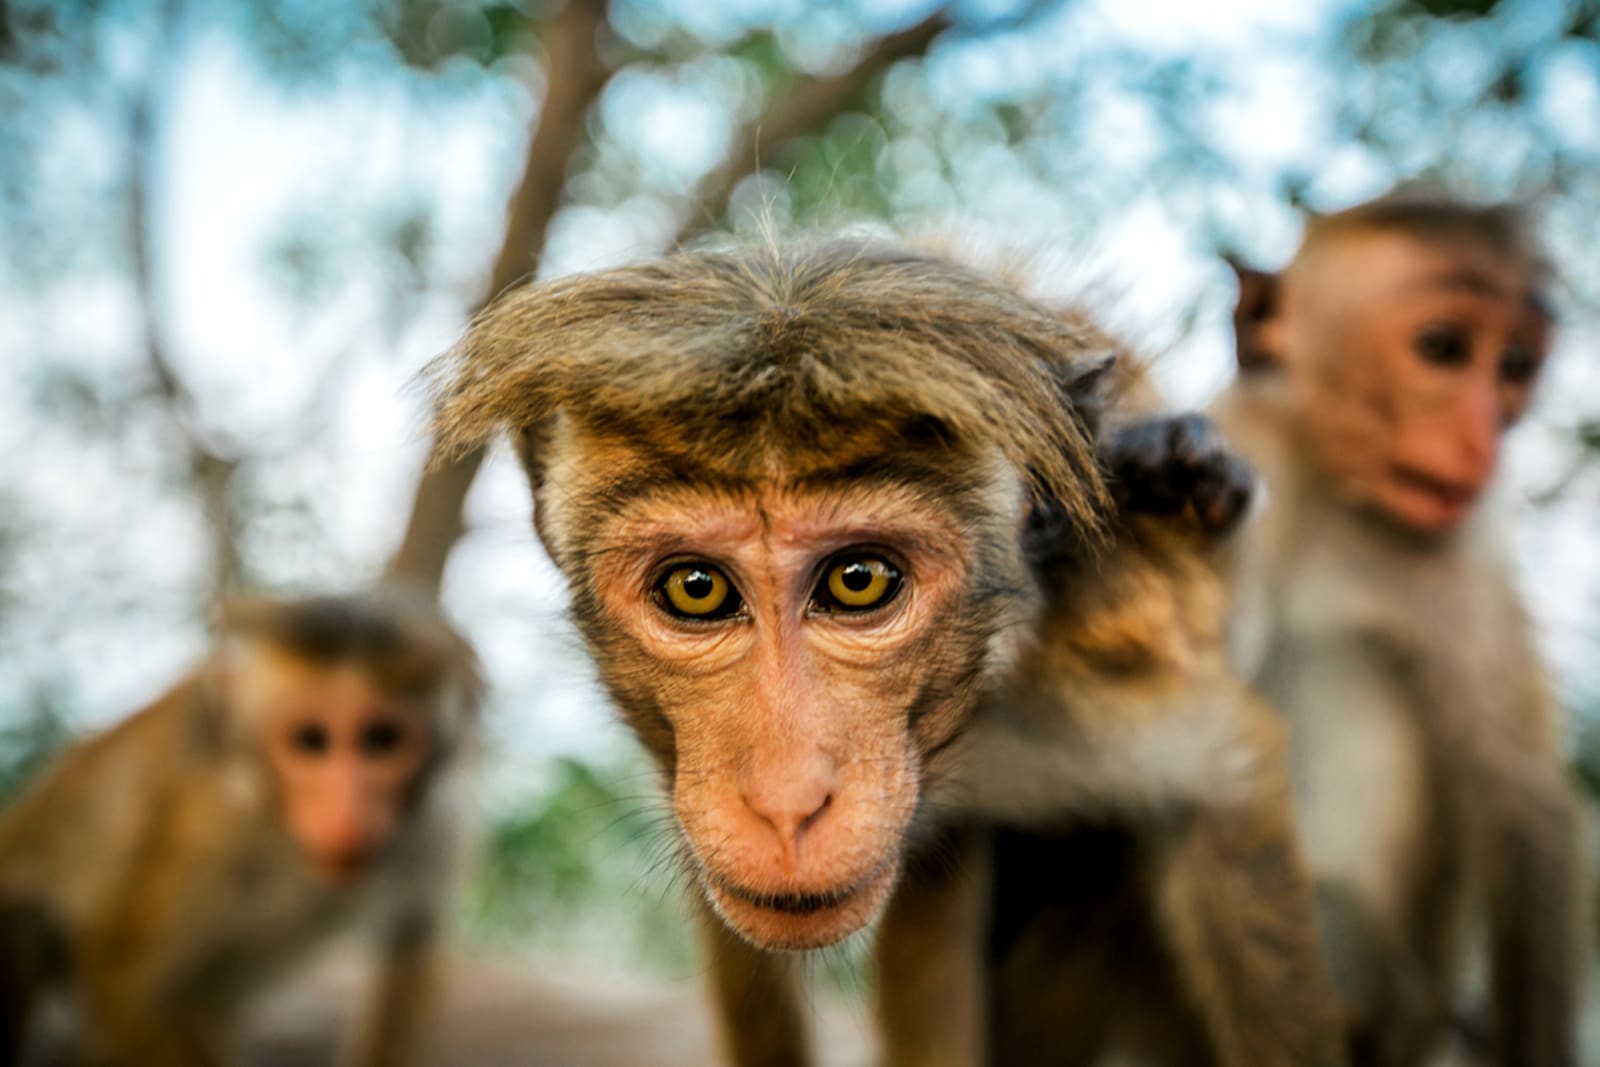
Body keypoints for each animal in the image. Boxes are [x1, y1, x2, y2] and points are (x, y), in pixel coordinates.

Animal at [0, 593, 482, 1067]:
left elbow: (409, 952)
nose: (347, 812)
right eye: (311, 741)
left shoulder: (437, 820)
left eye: (382, 741)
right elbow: (127, 985)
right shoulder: (207, 821)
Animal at [1210, 191, 1588, 1066]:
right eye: (1443, 348)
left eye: (1514, 367)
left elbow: (1525, 811)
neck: (1327, 482)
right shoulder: (1247, 435)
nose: (1482, 435)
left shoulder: (1461, 559)